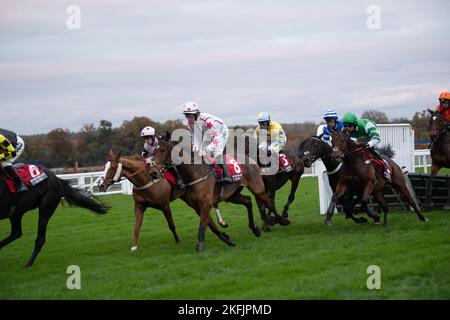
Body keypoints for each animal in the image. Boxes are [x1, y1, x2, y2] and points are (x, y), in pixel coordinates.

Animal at [149, 140, 288, 252]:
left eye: (162, 150)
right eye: (153, 150)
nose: (153, 171)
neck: (194, 174)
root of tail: (251, 159)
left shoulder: (205, 204)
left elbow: (202, 227)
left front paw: (200, 247)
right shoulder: (197, 207)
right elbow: (211, 226)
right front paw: (227, 239)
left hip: (257, 188)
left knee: (269, 202)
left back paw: (282, 220)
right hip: (232, 195)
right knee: (248, 201)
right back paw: (255, 229)